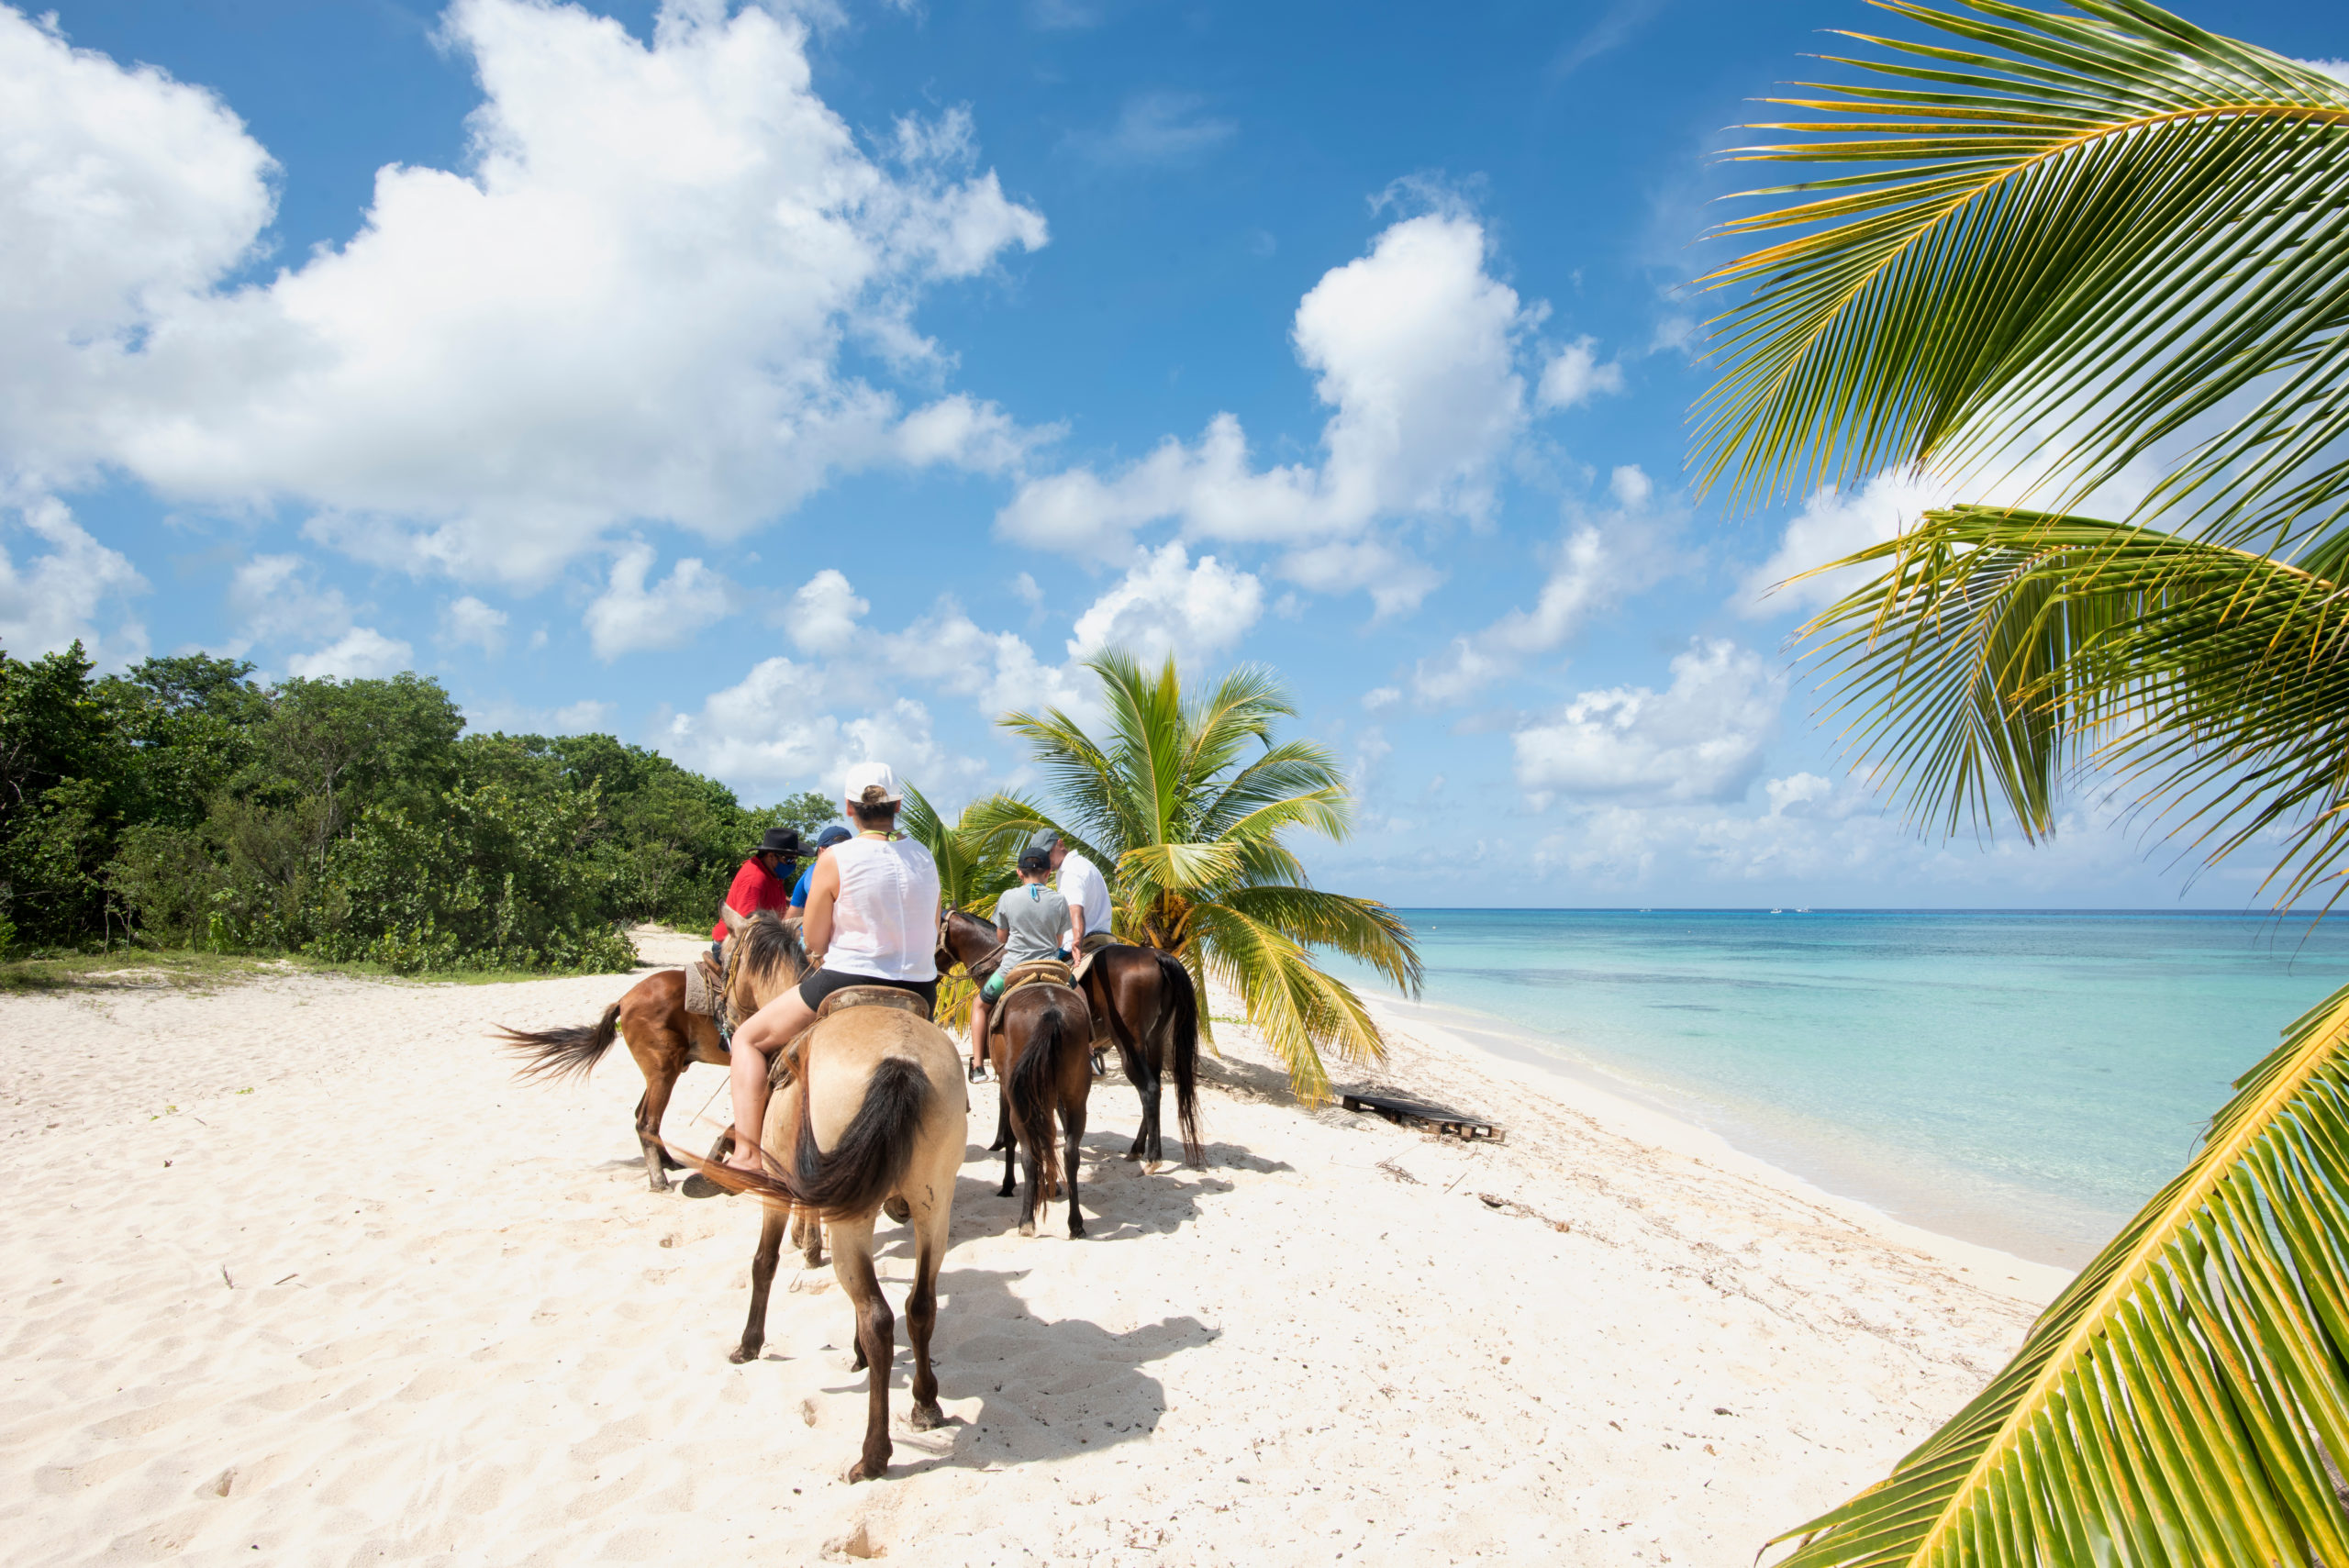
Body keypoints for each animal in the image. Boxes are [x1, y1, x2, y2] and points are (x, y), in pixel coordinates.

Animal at [672, 910, 963, 1473]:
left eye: (727, 958)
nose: (727, 1021)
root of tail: (901, 1061)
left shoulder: (778, 1194)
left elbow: (763, 1262)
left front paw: (749, 1344)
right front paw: (854, 1354)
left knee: (879, 1318)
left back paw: (872, 1456)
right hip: (932, 1204)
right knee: (919, 1306)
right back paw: (924, 1402)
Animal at [940, 906, 1104, 1239]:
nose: (933, 963)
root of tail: (1051, 1011)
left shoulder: (1006, 1084)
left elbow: (1015, 1139)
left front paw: (1009, 1184)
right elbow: (1050, 1133)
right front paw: (1053, 1186)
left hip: (1021, 1097)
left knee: (1028, 1151)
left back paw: (1027, 1219)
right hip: (1075, 1094)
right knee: (1071, 1151)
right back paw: (1076, 1222)